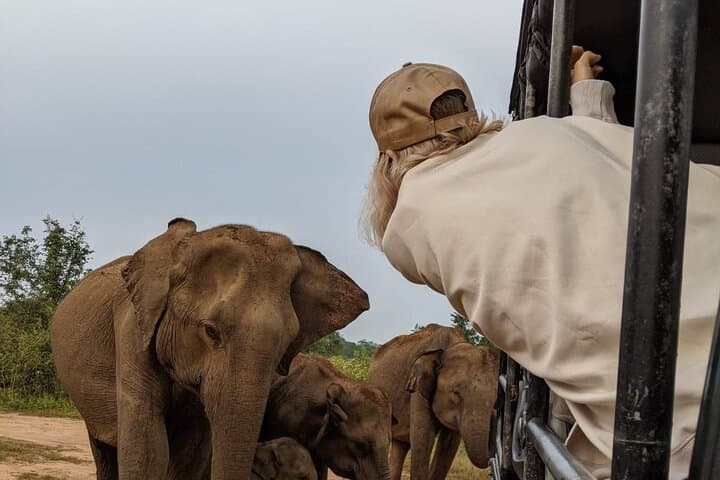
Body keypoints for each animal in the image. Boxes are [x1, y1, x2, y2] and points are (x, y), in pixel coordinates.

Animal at [367, 324, 499, 480]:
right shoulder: (416, 389)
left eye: (495, 399)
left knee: (401, 444)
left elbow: (449, 445)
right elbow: (423, 439)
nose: (495, 415)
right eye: (456, 393)